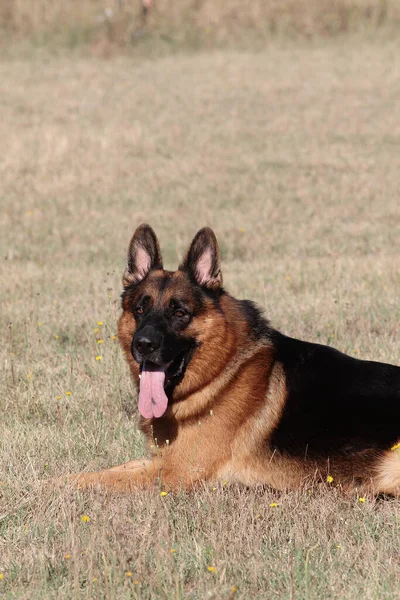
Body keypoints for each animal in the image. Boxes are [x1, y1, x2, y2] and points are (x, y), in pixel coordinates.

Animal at [72, 225, 400, 496]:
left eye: (180, 313)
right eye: (139, 310)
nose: (143, 345)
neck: (223, 372)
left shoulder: (174, 473)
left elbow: (95, 479)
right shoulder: (161, 461)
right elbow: (98, 472)